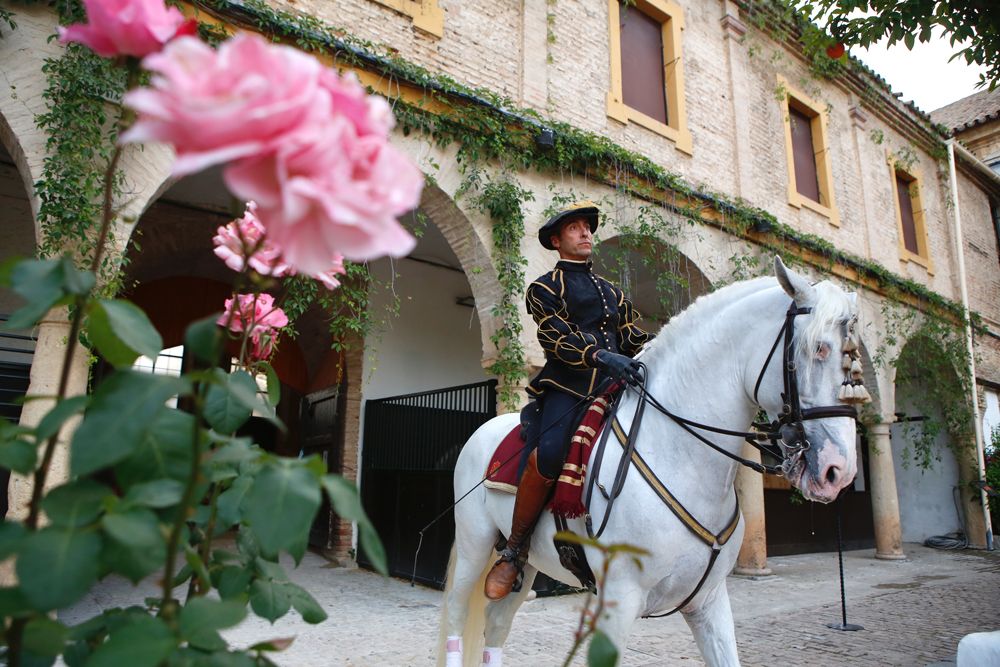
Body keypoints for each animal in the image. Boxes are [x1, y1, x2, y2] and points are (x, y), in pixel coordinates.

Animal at [438, 258, 860, 664]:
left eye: (851, 361)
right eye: (818, 349)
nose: (838, 471)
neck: (682, 456)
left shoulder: (709, 601)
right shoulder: (618, 601)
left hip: (526, 566)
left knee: (496, 624)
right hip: (475, 547)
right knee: (458, 617)